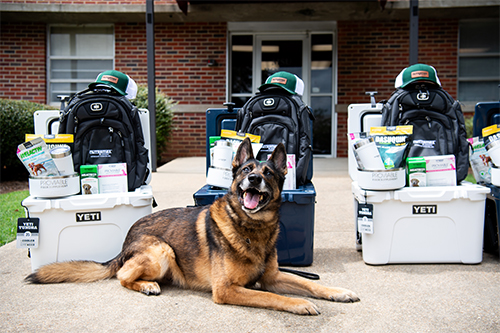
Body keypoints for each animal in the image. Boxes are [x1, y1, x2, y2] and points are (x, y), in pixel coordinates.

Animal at [25, 137, 360, 314]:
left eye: (268, 173)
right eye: (247, 171)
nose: (254, 179)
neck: (251, 229)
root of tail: (126, 240)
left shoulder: (274, 277)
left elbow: (310, 283)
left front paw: (338, 292)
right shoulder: (227, 290)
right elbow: (272, 296)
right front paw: (298, 304)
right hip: (161, 251)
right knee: (122, 275)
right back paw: (146, 285)